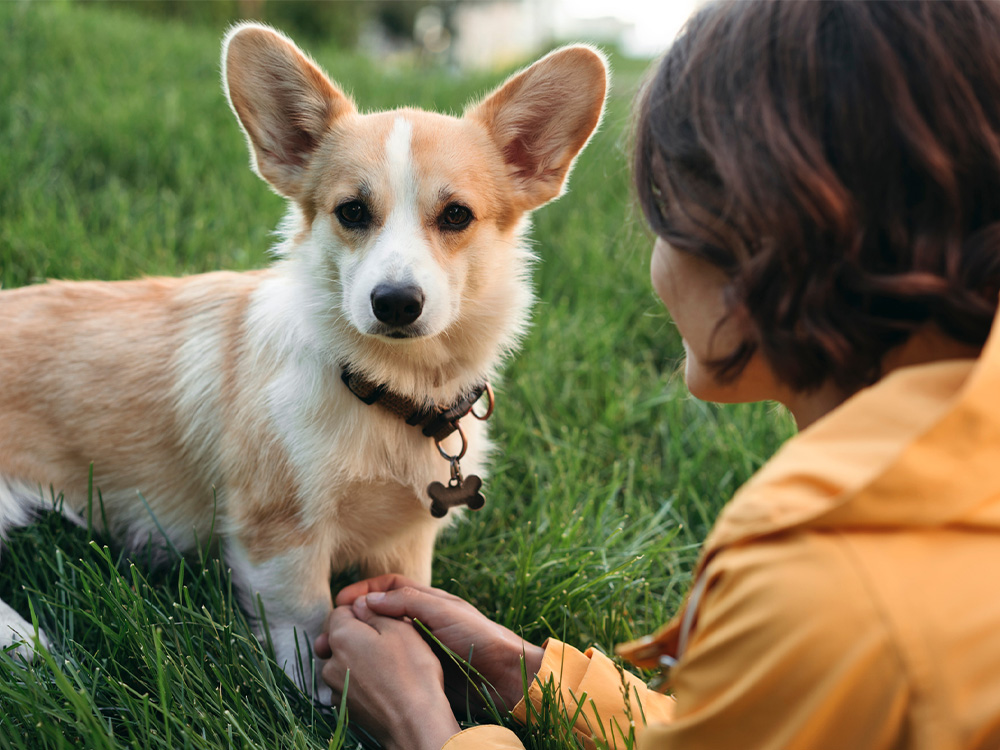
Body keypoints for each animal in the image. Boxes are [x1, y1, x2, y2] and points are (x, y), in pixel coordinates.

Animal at [0, 25, 604, 704]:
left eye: (456, 216)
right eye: (352, 212)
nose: (396, 302)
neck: (388, 391)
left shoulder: (405, 544)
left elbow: (415, 601)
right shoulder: (280, 540)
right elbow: (307, 628)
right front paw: (324, 704)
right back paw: (29, 644)